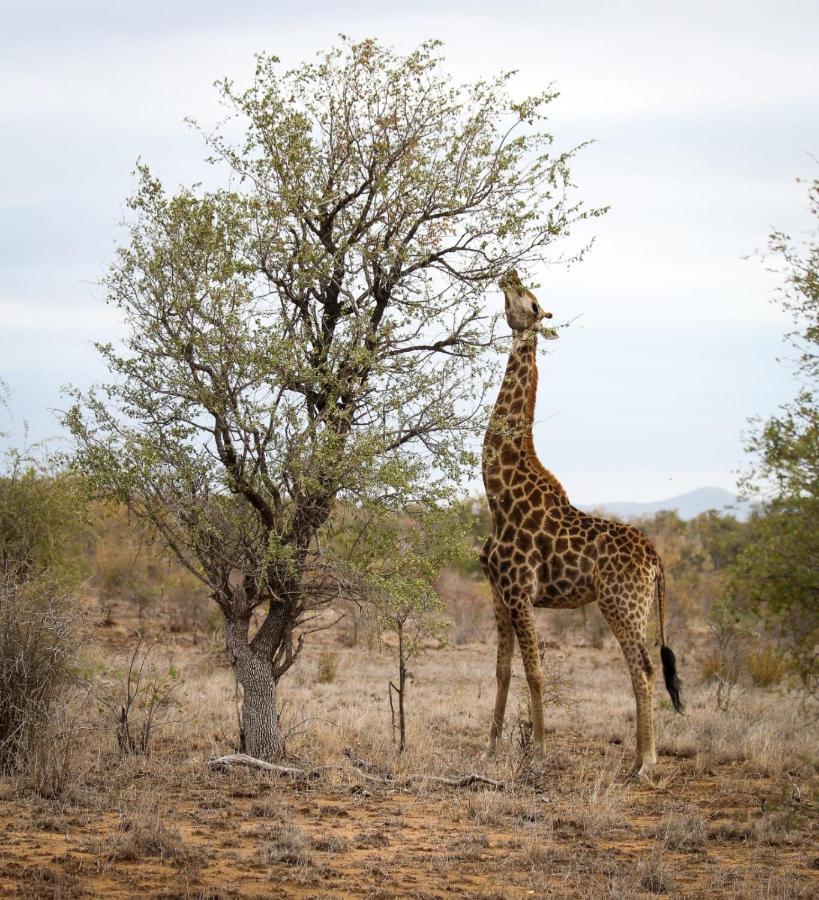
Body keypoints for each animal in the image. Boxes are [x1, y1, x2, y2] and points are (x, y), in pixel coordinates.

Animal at [480, 270, 684, 776]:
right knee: (642, 668)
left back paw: (645, 763)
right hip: (630, 606)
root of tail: (656, 559)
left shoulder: (520, 592)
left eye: (531, 301)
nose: (509, 271)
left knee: (643, 668)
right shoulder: (498, 591)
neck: (498, 494)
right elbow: (503, 669)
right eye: (523, 290)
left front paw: (538, 753)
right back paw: (638, 758)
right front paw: (489, 749)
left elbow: (535, 671)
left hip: (620, 604)